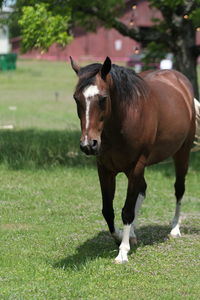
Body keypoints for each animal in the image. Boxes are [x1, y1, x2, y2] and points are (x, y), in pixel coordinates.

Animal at [70, 56, 195, 262]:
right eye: (76, 98)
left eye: (103, 98)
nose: (89, 144)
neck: (125, 119)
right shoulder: (105, 169)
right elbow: (108, 210)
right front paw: (120, 237)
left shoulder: (136, 165)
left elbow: (127, 210)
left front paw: (123, 252)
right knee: (142, 190)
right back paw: (134, 234)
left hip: (181, 153)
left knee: (179, 189)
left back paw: (175, 228)